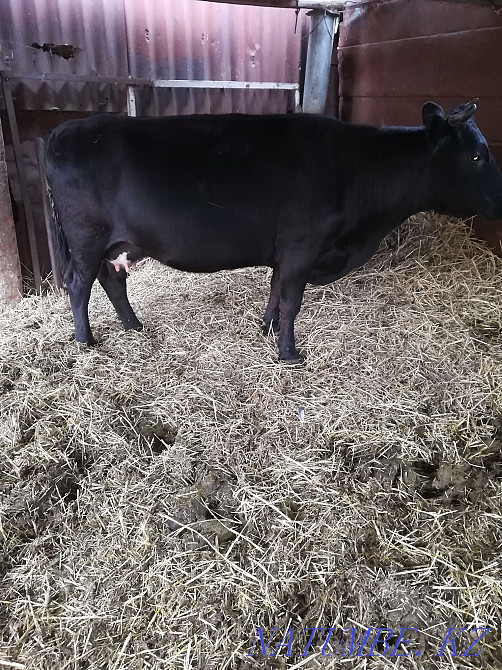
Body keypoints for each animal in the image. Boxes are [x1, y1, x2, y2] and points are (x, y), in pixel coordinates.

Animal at [46, 100, 502, 362]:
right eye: (476, 156)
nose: (501, 199)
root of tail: (65, 130)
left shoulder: (286, 249)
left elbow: (275, 290)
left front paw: (266, 329)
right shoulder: (303, 245)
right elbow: (292, 300)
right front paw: (289, 353)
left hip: (116, 242)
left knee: (111, 279)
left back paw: (133, 327)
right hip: (86, 238)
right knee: (79, 284)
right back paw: (86, 341)